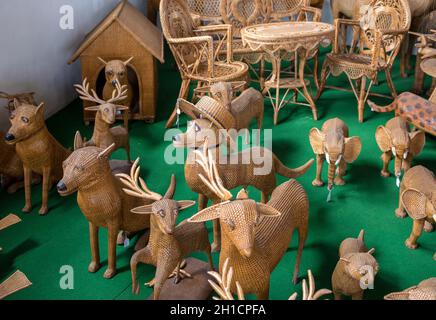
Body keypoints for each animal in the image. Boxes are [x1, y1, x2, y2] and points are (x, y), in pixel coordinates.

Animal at [56, 134, 152, 278]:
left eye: (80, 169)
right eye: (64, 165)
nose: (60, 186)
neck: (94, 198)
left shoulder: (112, 223)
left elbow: (110, 248)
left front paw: (110, 271)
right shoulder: (91, 222)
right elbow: (93, 245)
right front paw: (94, 265)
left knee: (150, 228)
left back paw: (140, 243)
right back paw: (123, 236)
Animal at [115, 160, 212, 300]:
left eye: (176, 211)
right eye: (160, 212)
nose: (170, 230)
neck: (157, 248)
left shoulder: (166, 263)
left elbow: (158, 287)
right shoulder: (150, 255)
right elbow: (133, 258)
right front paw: (136, 287)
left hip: (204, 243)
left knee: (209, 253)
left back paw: (212, 272)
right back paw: (177, 278)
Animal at [173, 101, 314, 251]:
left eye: (197, 128)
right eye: (188, 125)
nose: (174, 137)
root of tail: (271, 154)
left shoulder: (217, 199)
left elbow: (216, 224)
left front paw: (216, 246)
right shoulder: (202, 194)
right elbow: (200, 208)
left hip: (269, 182)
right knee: (264, 197)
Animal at [188, 144, 310, 298]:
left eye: (255, 222)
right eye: (228, 223)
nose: (247, 251)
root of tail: (293, 182)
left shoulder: (263, 287)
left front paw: (215, 245)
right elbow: (200, 208)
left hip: (300, 219)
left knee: (300, 246)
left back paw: (295, 277)